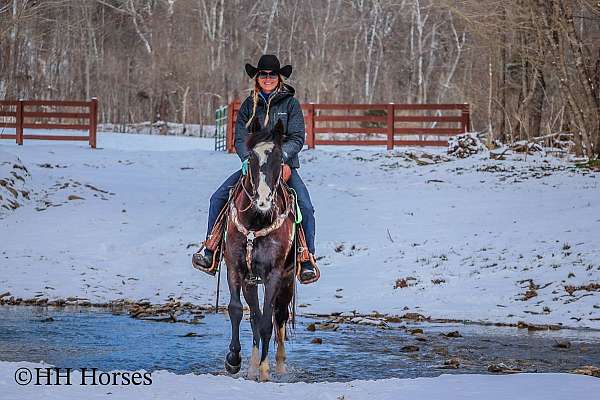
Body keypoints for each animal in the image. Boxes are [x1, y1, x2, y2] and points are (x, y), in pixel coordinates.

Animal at [223, 118, 296, 382]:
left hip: (287, 282)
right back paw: (253, 366)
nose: (263, 201)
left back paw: (279, 366)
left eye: (279, 158)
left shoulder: (274, 275)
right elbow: (237, 311)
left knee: (279, 317)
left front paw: (265, 371)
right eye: (251, 158)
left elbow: (267, 322)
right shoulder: (235, 269)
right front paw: (234, 360)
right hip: (251, 283)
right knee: (254, 315)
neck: (256, 222)